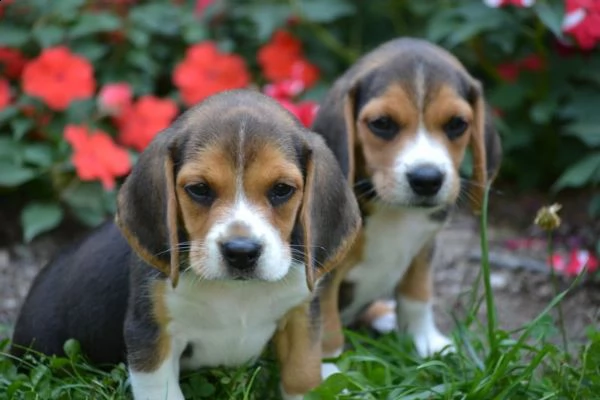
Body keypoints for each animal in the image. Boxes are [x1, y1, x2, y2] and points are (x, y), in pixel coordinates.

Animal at [11, 89, 360, 398]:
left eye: (282, 189)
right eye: (199, 189)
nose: (241, 253)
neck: (238, 293)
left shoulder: (301, 316)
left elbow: (302, 375)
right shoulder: (151, 334)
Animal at [312, 38, 504, 360]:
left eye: (457, 124)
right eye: (382, 123)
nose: (427, 179)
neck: (393, 210)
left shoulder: (424, 247)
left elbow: (417, 296)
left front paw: (425, 341)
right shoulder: (322, 272)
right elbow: (325, 325)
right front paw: (327, 370)